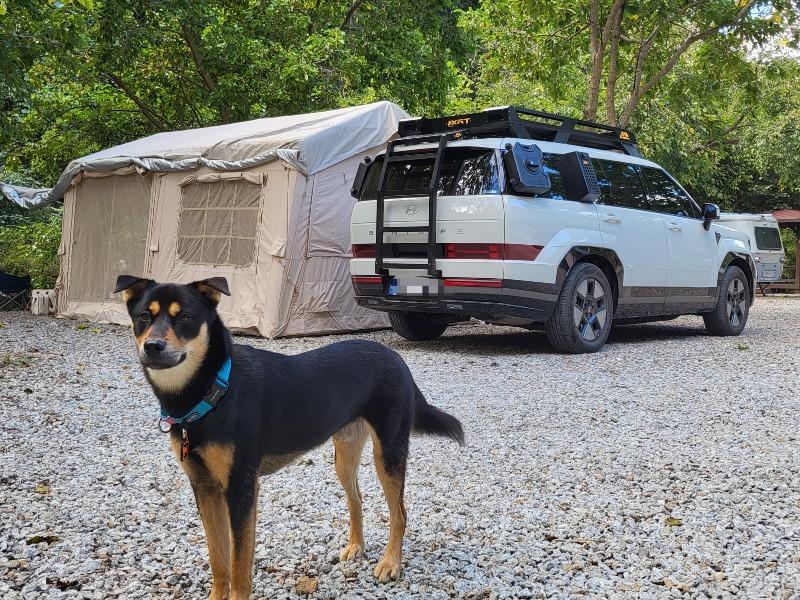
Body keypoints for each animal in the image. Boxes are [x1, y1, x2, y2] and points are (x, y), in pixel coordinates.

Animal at [112, 276, 462, 600]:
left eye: (184, 317)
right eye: (144, 316)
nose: (153, 347)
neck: (214, 389)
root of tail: (396, 358)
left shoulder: (241, 488)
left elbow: (239, 565)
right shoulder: (204, 487)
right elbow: (218, 558)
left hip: (388, 453)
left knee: (399, 513)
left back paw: (390, 563)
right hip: (345, 453)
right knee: (357, 498)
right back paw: (356, 547)